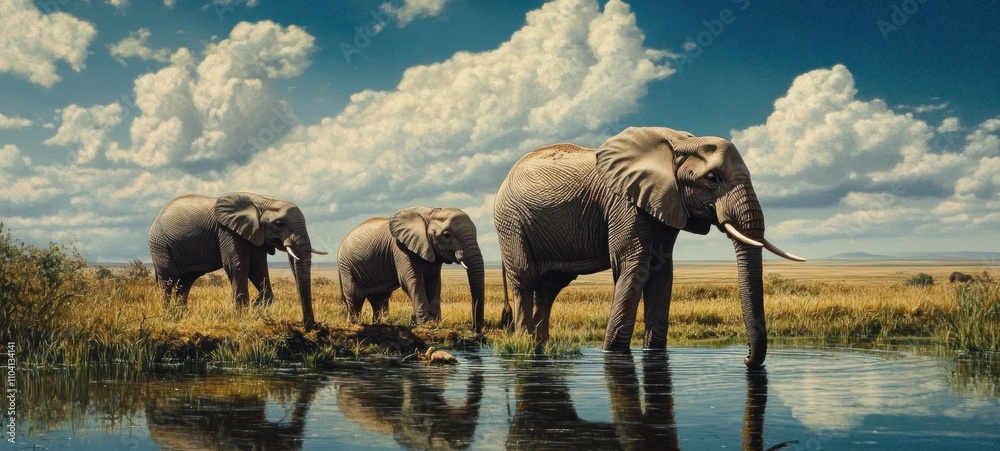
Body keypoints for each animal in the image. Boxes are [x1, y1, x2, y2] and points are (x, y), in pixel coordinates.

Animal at [149, 192, 326, 327]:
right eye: (279, 224)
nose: (310, 326)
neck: (262, 201)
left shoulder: (255, 234)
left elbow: (258, 268)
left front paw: (259, 307)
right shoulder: (227, 230)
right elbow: (238, 265)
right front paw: (243, 314)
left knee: (185, 282)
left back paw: (180, 316)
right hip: (160, 245)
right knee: (169, 279)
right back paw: (169, 316)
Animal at [337, 206, 485, 332]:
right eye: (447, 235)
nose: (475, 329)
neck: (431, 213)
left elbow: (434, 283)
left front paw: (435, 322)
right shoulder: (400, 248)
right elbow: (413, 281)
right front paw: (427, 323)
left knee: (379, 298)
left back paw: (380, 324)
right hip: (346, 265)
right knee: (354, 295)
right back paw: (353, 324)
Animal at [494, 127, 803, 367]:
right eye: (712, 179)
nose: (745, 360)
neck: (679, 143)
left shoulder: (667, 202)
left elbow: (662, 271)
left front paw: (653, 351)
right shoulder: (624, 202)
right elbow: (634, 265)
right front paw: (612, 354)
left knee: (549, 287)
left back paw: (540, 347)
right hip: (511, 222)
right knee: (525, 279)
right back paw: (524, 346)